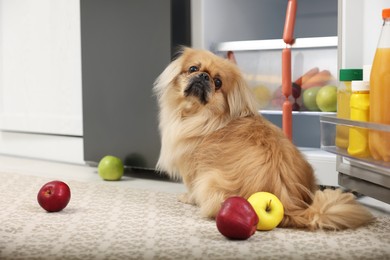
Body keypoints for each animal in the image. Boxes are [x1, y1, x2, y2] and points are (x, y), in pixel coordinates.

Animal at [154, 47, 374, 231]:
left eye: (218, 82)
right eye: (193, 68)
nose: (203, 76)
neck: (203, 116)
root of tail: (289, 205)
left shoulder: (192, 166)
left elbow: (190, 187)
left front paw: (187, 198)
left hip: (209, 180)